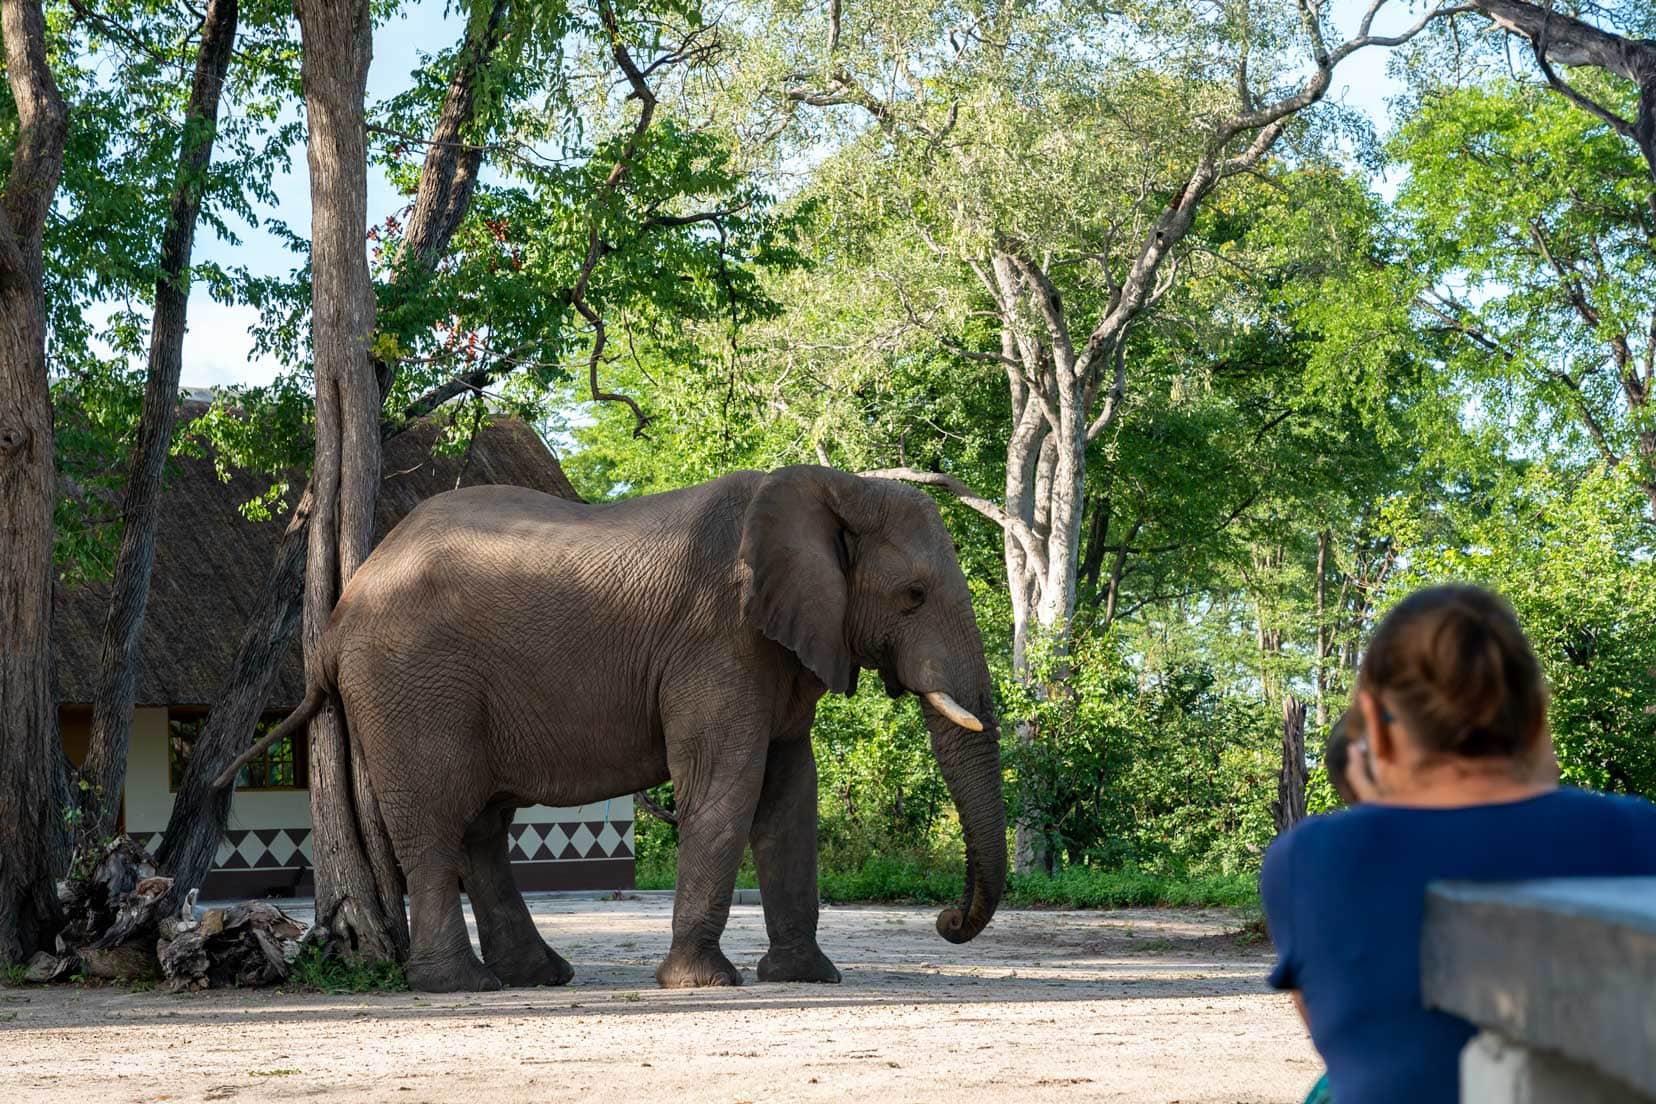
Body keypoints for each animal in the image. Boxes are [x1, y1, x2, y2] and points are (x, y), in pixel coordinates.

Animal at [223, 463, 1006, 993]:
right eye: (913, 596)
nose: (945, 921)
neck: (836, 488)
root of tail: (335, 619)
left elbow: (790, 798)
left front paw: (806, 977)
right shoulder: (716, 642)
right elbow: (724, 787)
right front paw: (704, 984)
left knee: (483, 826)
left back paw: (539, 975)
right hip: (408, 684)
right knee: (438, 824)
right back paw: (460, 985)